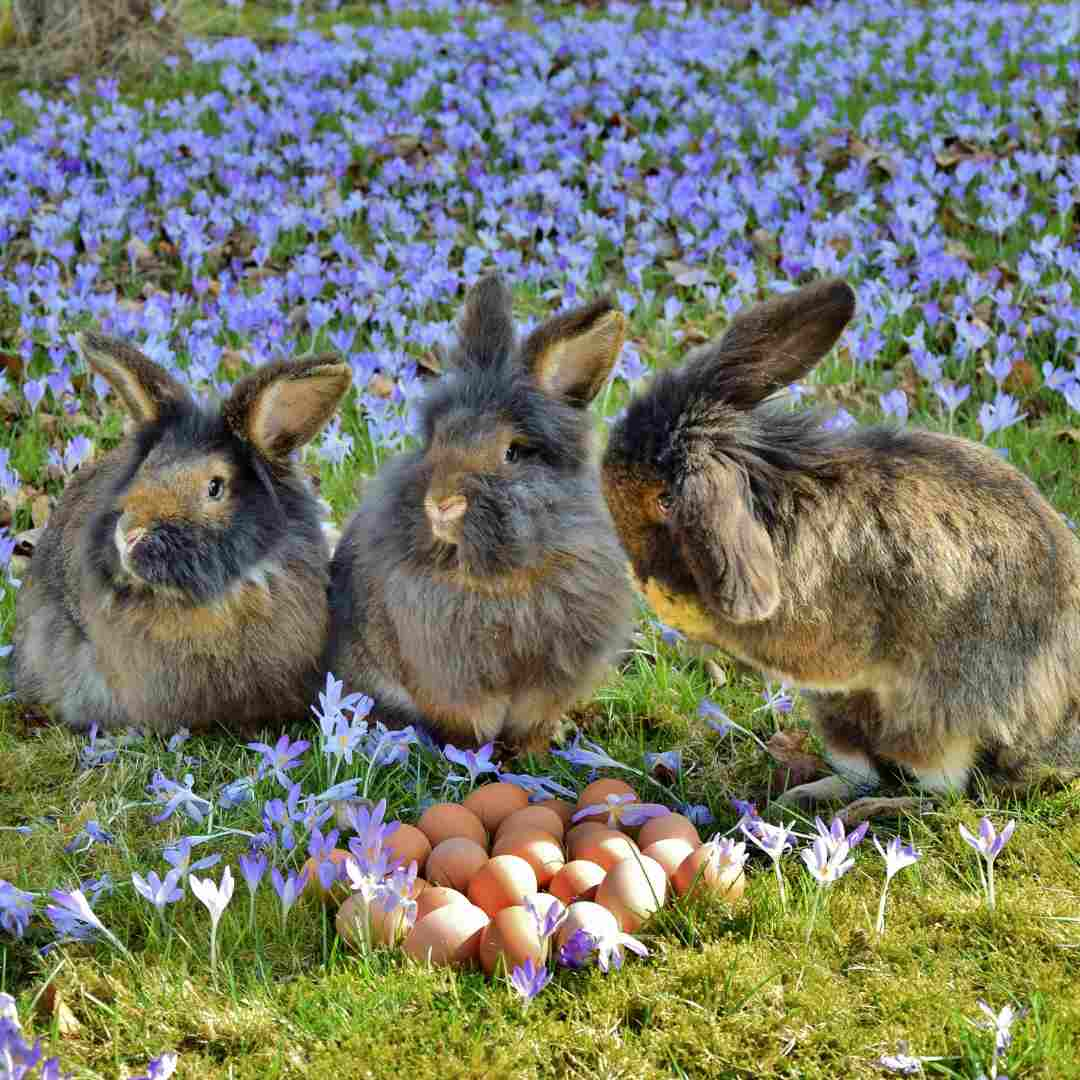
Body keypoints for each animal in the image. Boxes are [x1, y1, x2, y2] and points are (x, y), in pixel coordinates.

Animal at [324, 274, 635, 756]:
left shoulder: (550, 683)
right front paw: (474, 759)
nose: (441, 503)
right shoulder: (451, 683)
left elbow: (533, 724)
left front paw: (533, 755)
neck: (502, 578)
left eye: (513, 452)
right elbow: (470, 725)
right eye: (437, 439)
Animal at [600, 278, 1080, 803]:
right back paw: (804, 795)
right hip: (839, 713)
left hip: (933, 717)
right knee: (861, 768)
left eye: (666, 499)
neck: (770, 499)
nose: (638, 571)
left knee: (936, 789)